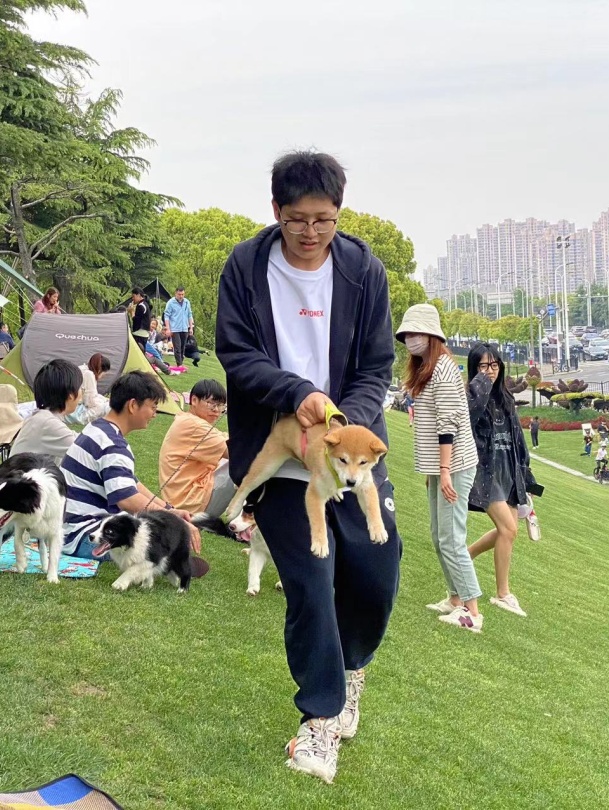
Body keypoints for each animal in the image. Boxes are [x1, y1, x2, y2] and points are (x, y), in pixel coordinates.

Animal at [0, 453, 66, 584]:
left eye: (2, 502)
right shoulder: (20, 523)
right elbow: (17, 542)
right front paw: (21, 564)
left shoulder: (56, 527)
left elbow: (54, 553)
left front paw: (52, 578)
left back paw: (44, 565)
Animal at [225, 416, 388, 558]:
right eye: (343, 459)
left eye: (363, 462)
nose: (351, 482)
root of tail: (289, 417)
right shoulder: (315, 492)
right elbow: (318, 520)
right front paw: (320, 544)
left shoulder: (366, 485)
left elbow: (373, 507)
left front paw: (378, 529)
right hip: (268, 464)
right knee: (246, 483)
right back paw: (233, 508)